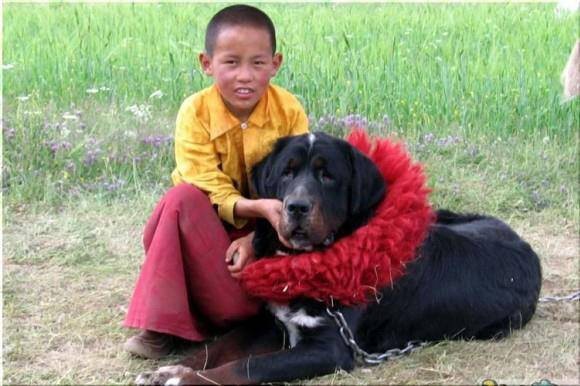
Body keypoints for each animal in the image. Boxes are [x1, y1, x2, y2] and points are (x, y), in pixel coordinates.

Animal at [137, 132, 544, 382]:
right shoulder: (271, 321)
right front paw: (168, 370)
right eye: (286, 173)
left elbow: (246, 366)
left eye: (328, 176)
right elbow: (219, 347)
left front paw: (183, 379)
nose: (297, 207)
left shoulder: (329, 348)